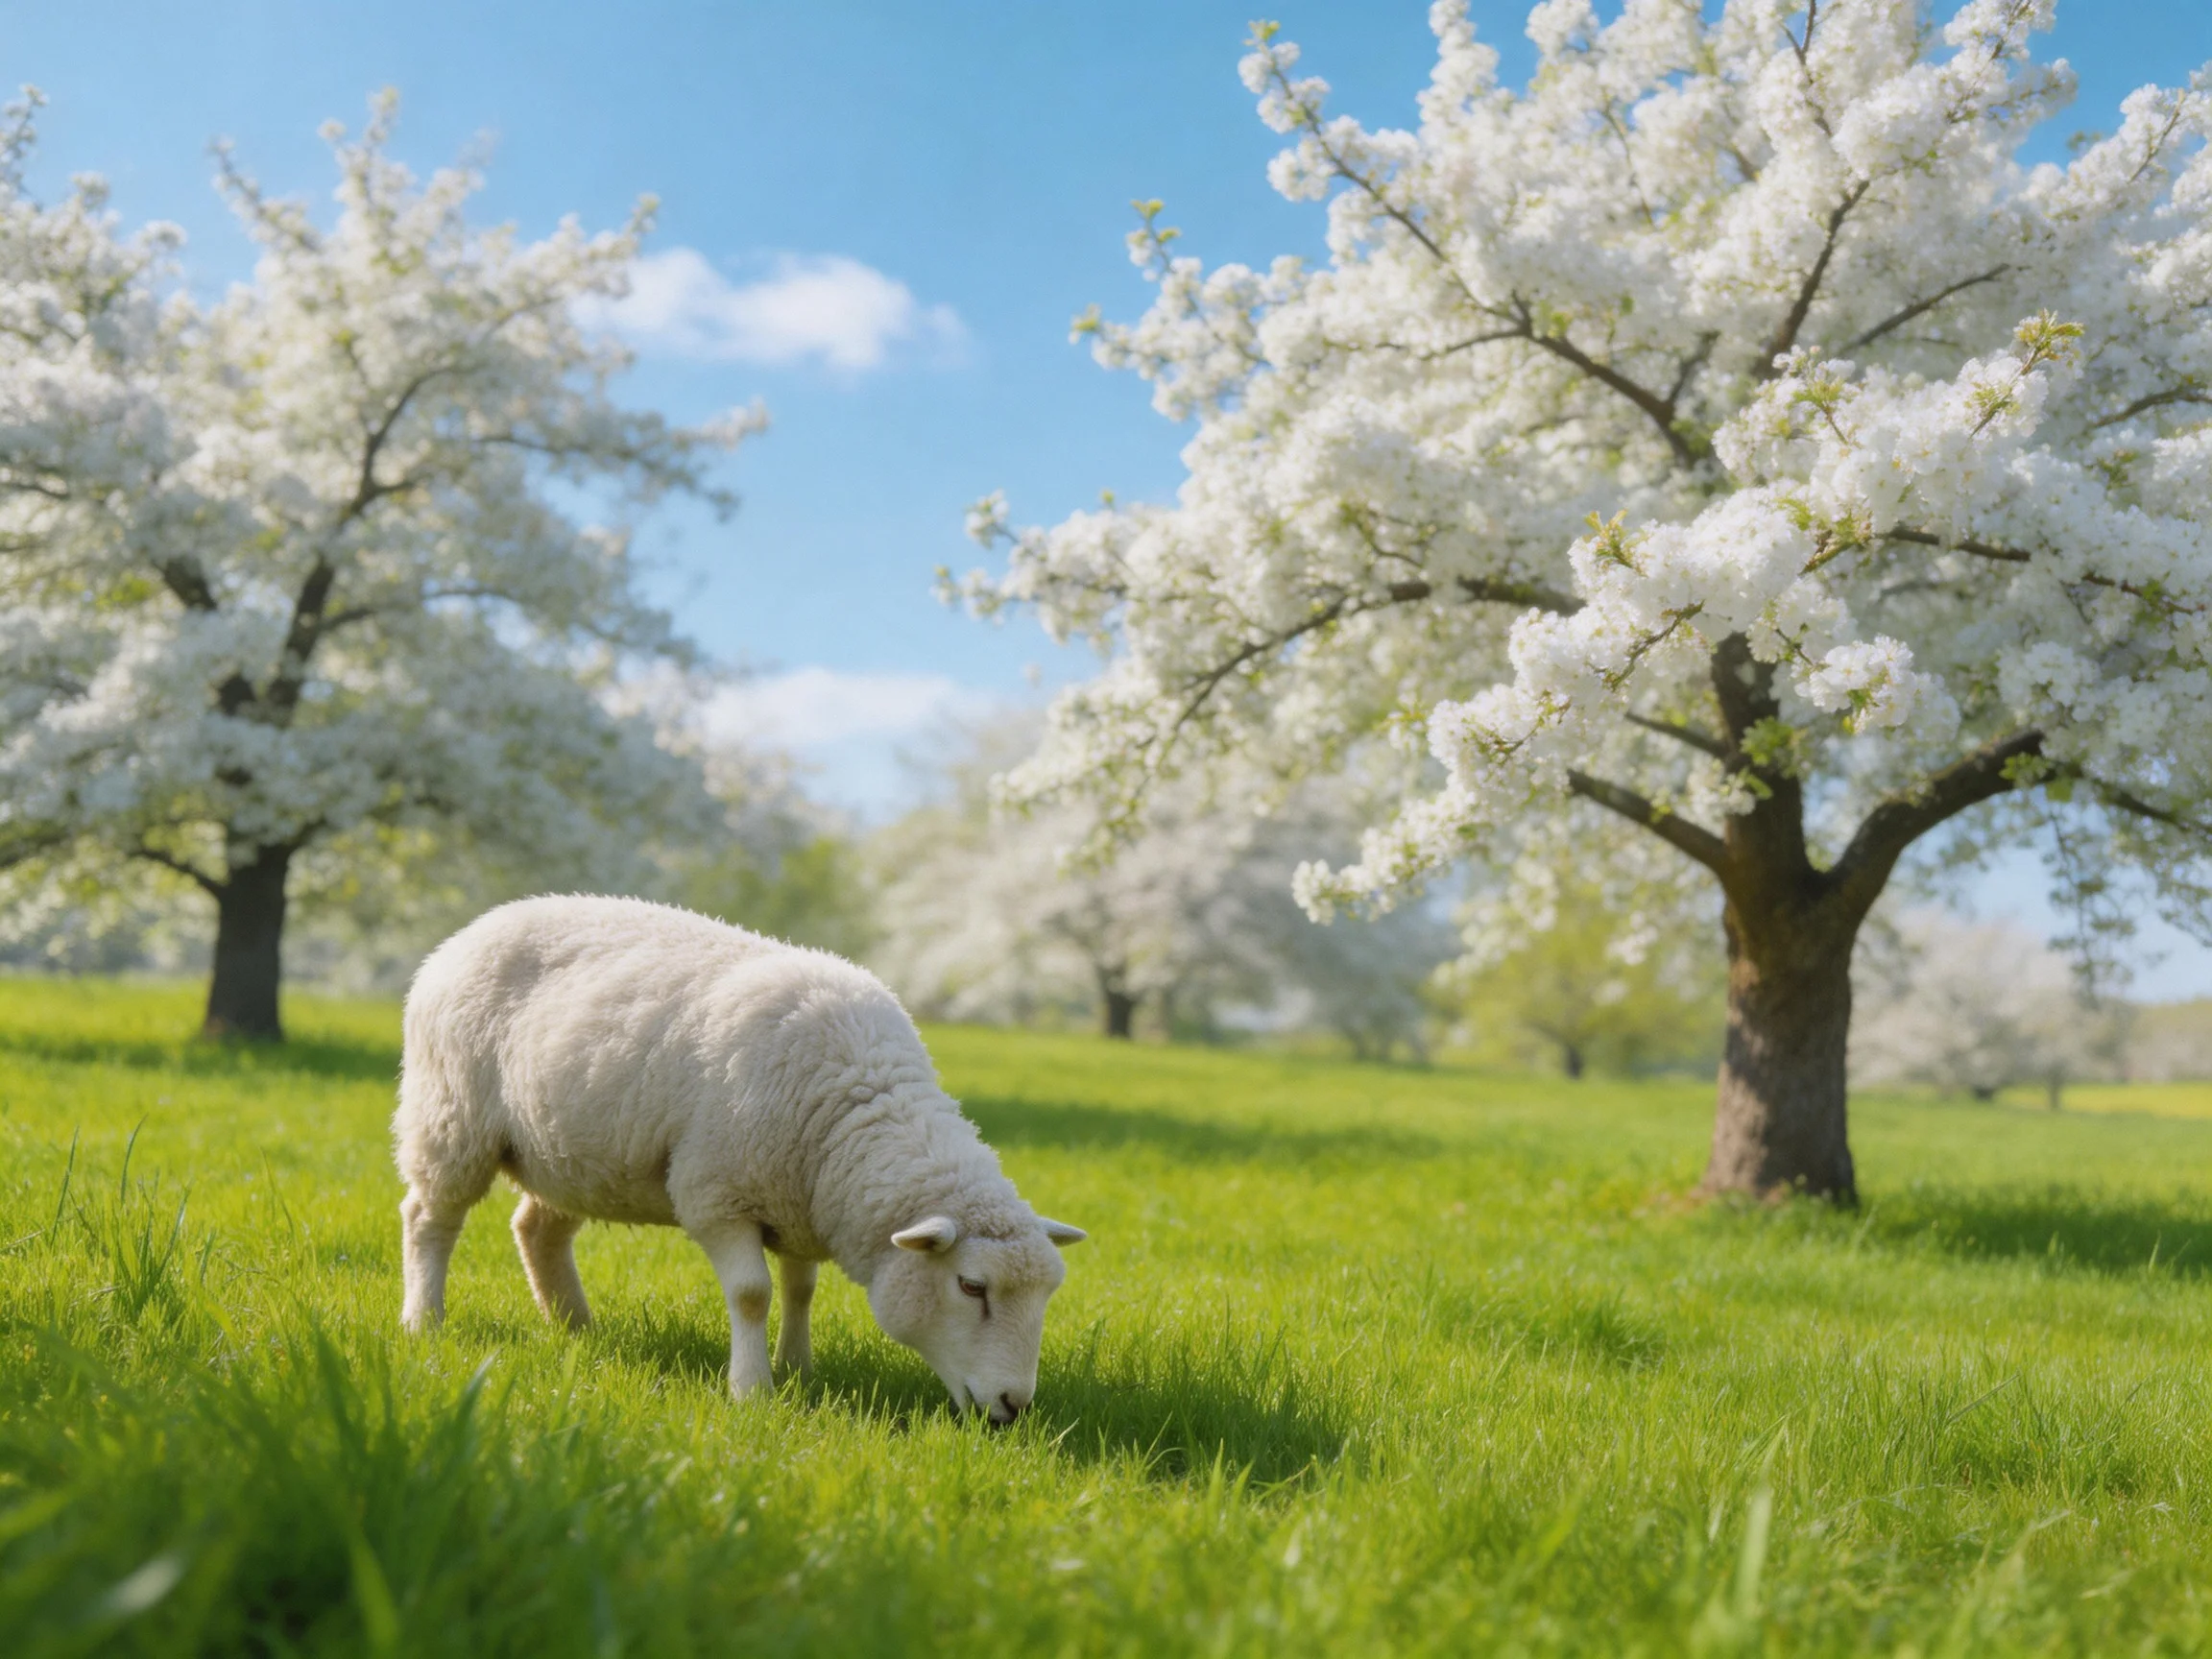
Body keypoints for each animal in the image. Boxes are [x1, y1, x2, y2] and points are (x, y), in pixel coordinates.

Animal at [392, 894, 1085, 1423]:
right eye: (971, 1286)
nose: (1015, 1405)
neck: (852, 1112)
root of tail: (472, 929)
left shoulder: (801, 1200)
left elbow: (801, 1288)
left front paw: (798, 1367)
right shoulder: (719, 1194)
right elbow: (753, 1294)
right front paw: (752, 1390)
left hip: (572, 1154)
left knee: (536, 1229)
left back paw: (576, 1328)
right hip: (451, 1117)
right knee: (429, 1218)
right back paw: (424, 1320)